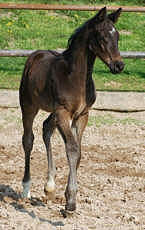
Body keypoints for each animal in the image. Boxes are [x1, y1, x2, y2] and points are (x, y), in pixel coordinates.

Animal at [19, 7, 124, 212]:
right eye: (102, 36)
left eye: (117, 36)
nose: (119, 65)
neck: (75, 77)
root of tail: (34, 56)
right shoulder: (63, 113)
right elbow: (72, 148)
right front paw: (71, 201)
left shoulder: (81, 115)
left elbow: (79, 151)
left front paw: (68, 196)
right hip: (28, 106)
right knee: (28, 140)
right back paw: (26, 188)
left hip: (53, 112)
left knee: (46, 128)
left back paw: (49, 186)